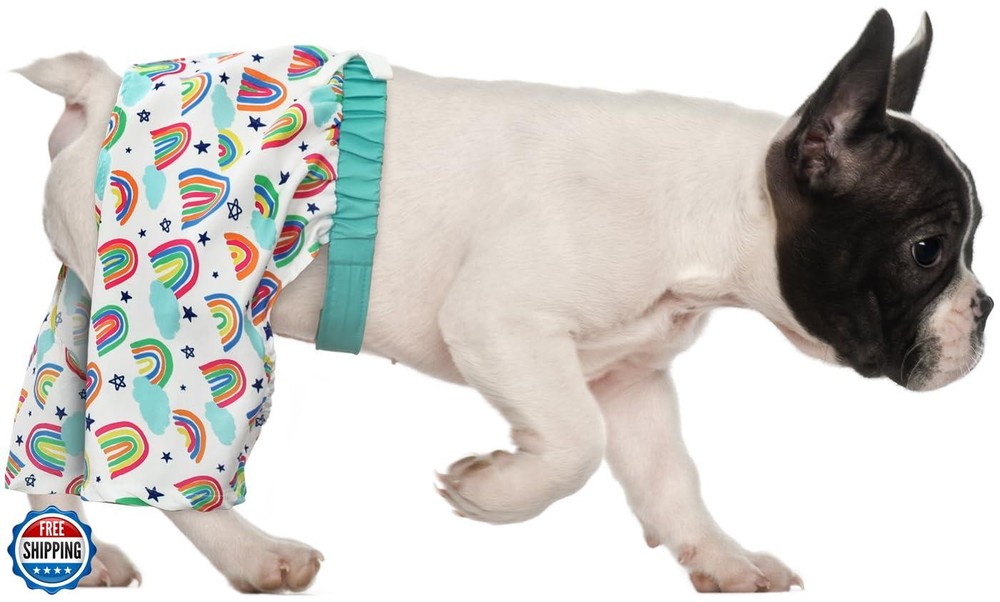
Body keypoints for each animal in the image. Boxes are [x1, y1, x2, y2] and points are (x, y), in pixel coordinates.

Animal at [9, 9, 991, 593]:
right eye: (928, 250)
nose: (985, 312)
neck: (719, 209)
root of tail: (102, 88)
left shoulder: (632, 381)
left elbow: (669, 476)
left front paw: (719, 556)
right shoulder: (502, 327)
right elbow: (575, 444)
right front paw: (492, 491)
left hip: (87, 304)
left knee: (50, 438)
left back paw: (74, 558)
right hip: (185, 302)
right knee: (172, 466)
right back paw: (256, 556)